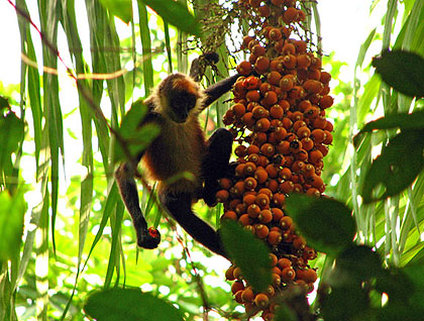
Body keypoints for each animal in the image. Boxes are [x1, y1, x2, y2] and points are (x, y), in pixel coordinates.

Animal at [114, 57, 238, 258]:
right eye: (178, 105)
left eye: (189, 104)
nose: (185, 114)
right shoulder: (146, 116)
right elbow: (125, 170)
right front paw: (142, 232)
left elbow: (207, 95)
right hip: (177, 186)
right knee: (172, 203)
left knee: (222, 135)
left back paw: (211, 193)